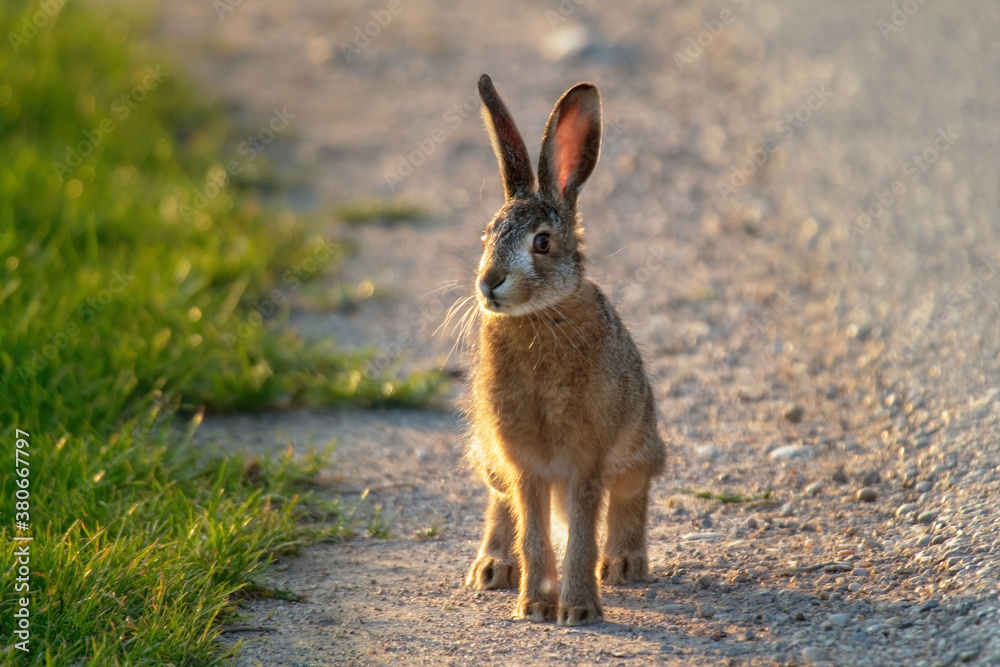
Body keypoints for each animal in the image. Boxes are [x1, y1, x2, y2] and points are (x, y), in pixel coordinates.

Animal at [464, 74, 667, 626]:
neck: (538, 316)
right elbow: (533, 533)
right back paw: (492, 568)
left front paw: (577, 610)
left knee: (632, 496)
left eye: (542, 243)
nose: (489, 282)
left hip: (639, 447)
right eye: (487, 237)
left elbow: (579, 535)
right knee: (500, 503)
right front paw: (535, 605)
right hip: (490, 452)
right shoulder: (524, 464)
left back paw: (624, 564)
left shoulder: (586, 461)